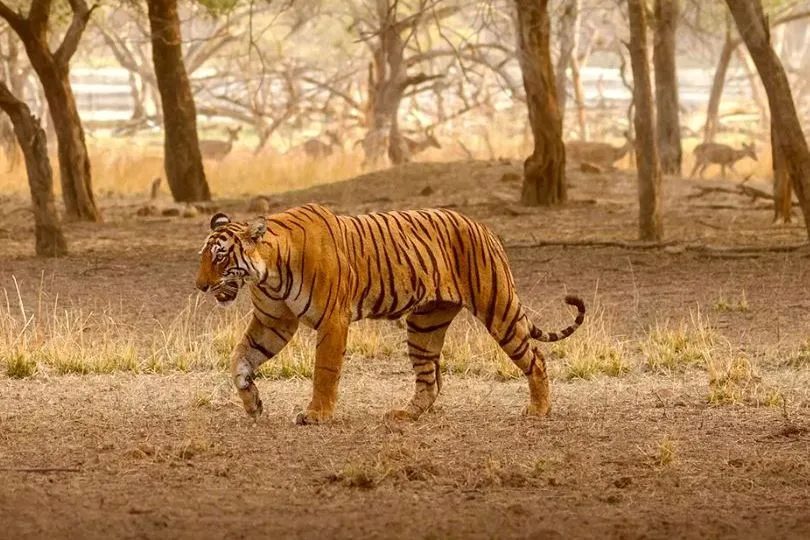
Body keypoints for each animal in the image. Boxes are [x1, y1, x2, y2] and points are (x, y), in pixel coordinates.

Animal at [195, 204, 585, 425]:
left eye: (220, 256)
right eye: (204, 256)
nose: (200, 286)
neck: (269, 272)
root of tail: (483, 226)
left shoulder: (332, 320)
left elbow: (324, 371)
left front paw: (317, 415)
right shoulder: (273, 322)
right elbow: (240, 359)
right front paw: (252, 404)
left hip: (498, 307)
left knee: (535, 358)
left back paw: (538, 411)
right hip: (424, 323)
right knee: (430, 380)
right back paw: (405, 415)